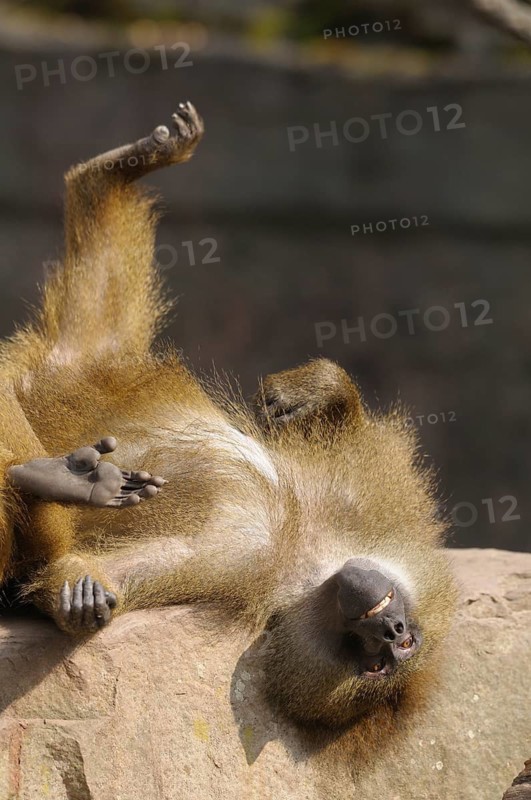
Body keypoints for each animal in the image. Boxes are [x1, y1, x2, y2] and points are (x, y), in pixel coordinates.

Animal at [0, 101, 457, 730]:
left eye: (383, 660)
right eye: (401, 640)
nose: (387, 629)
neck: (303, 536)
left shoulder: (234, 563)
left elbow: (144, 568)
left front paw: (75, 591)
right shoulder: (371, 491)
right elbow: (346, 423)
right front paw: (308, 391)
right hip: (88, 358)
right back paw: (119, 167)